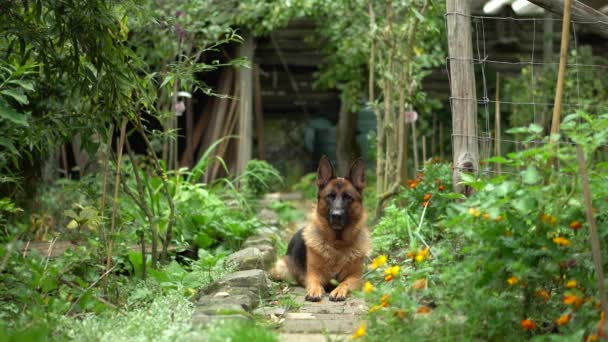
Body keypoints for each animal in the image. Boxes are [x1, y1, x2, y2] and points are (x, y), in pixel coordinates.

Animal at [270, 156, 370, 300]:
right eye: (329, 196)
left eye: (348, 197)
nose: (336, 215)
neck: (337, 245)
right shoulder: (313, 274)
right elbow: (314, 282)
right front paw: (314, 290)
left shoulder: (356, 278)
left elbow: (344, 283)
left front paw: (339, 290)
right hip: (282, 269)